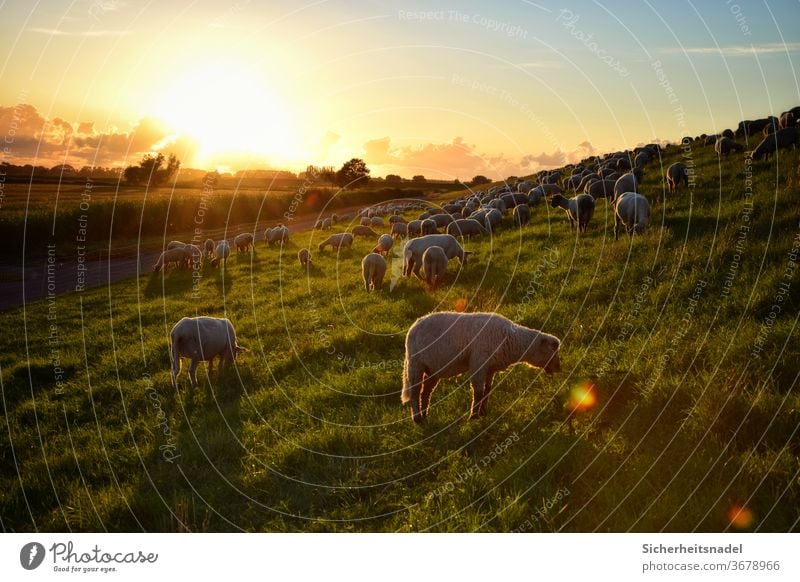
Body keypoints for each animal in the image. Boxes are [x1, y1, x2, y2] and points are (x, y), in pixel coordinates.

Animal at [400, 312, 564, 422]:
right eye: (552, 350)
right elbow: (478, 392)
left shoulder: (490, 368)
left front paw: (483, 412)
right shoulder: (478, 363)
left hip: (433, 368)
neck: (512, 341)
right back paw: (417, 419)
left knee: (425, 392)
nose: (559, 369)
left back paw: (425, 415)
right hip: (415, 364)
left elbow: (487, 390)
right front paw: (473, 417)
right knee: (415, 392)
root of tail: (415, 324)